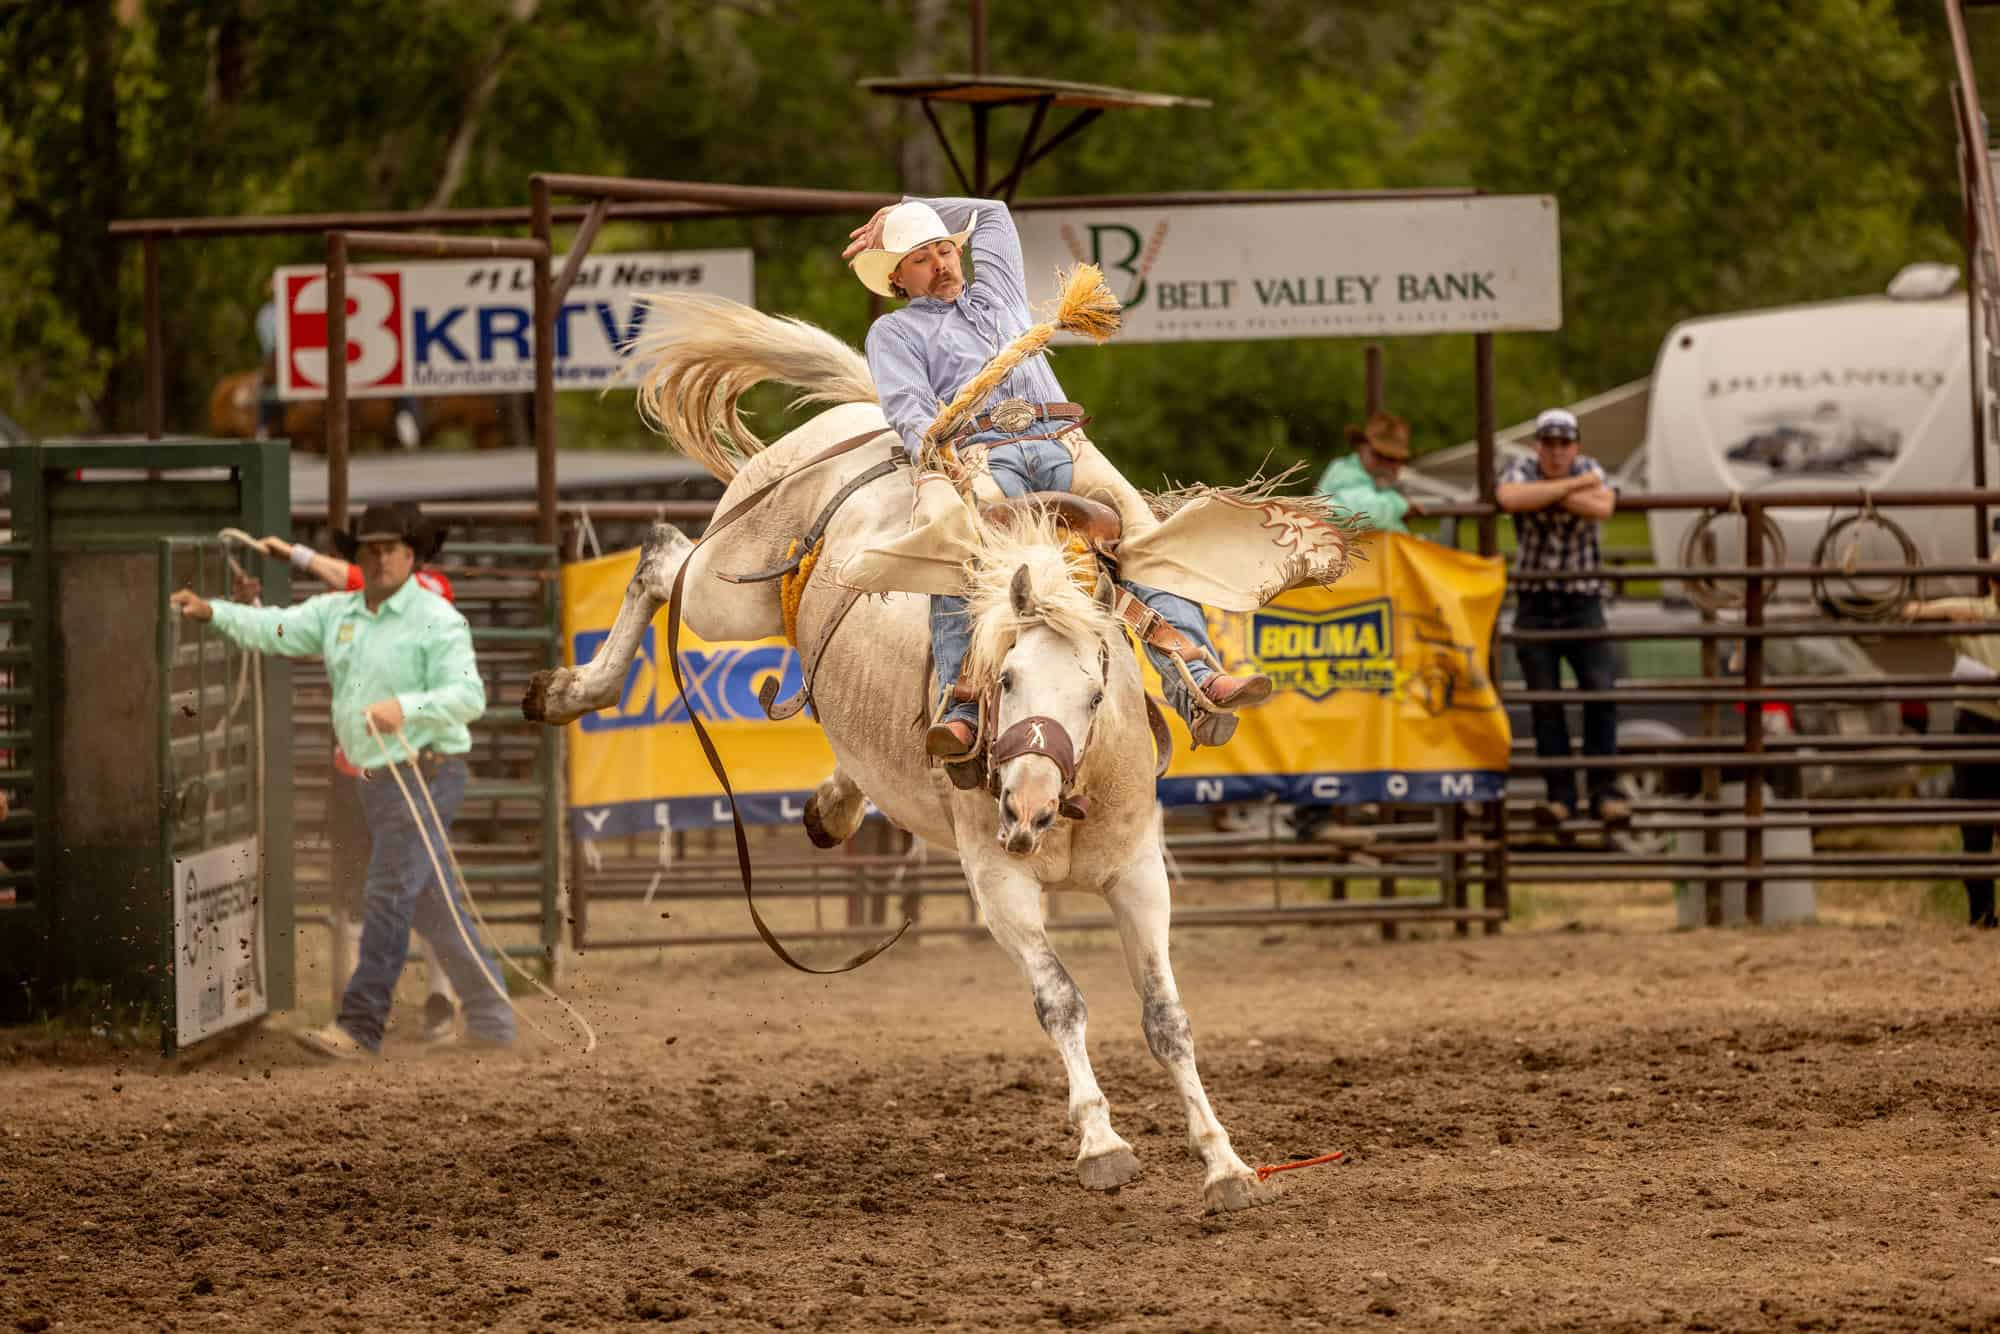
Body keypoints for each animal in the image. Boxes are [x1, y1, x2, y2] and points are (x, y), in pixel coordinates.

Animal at [522, 295, 1344, 1213]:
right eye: (1004, 678)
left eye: (1097, 692)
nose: (1026, 806)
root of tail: (871, 417)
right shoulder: (998, 884)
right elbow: (1061, 1000)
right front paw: (1102, 1143)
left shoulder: (1139, 874)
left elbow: (1166, 1018)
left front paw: (1224, 1161)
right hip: (724, 591)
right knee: (664, 558)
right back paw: (570, 690)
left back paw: (833, 804)